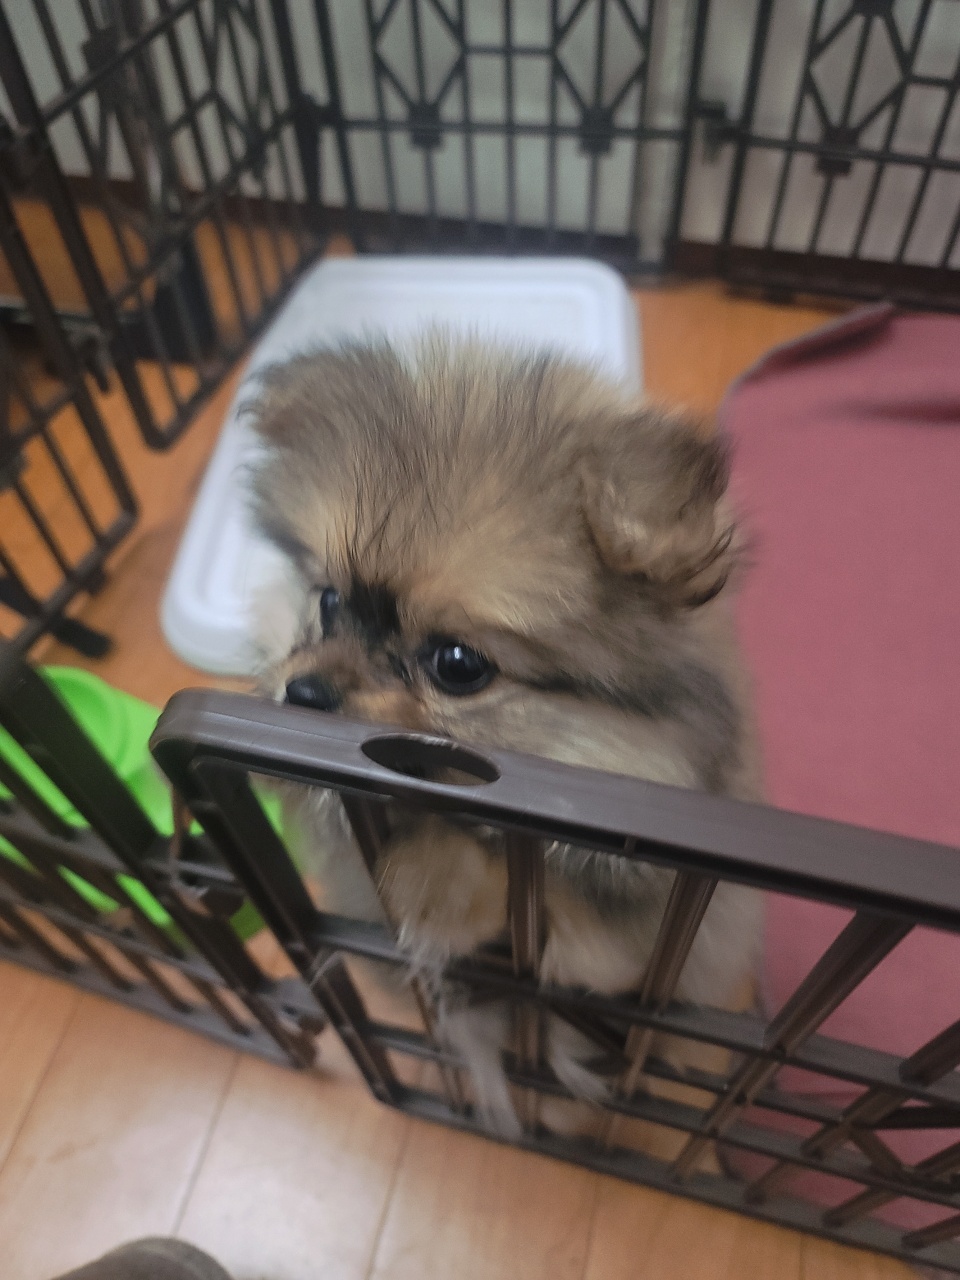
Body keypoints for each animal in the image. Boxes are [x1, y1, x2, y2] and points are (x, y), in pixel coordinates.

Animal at [247, 334, 762, 1138]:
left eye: (457, 665)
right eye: (327, 603)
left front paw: (434, 878)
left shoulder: (631, 957)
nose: (301, 694)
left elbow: (542, 898)